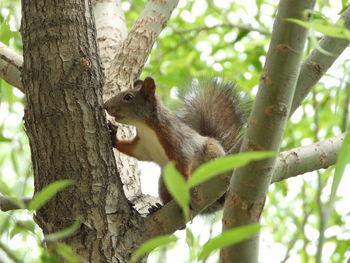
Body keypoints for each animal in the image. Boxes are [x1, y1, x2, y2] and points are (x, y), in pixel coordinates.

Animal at [102, 76, 247, 212]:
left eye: (128, 97)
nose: (105, 106)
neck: (146, 128)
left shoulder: (175, 139)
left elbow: (183, 161)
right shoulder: (143, 145)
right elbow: (136, 151)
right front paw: (114, 137)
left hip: (213, 152)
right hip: (165, 180)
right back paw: (158, 207)